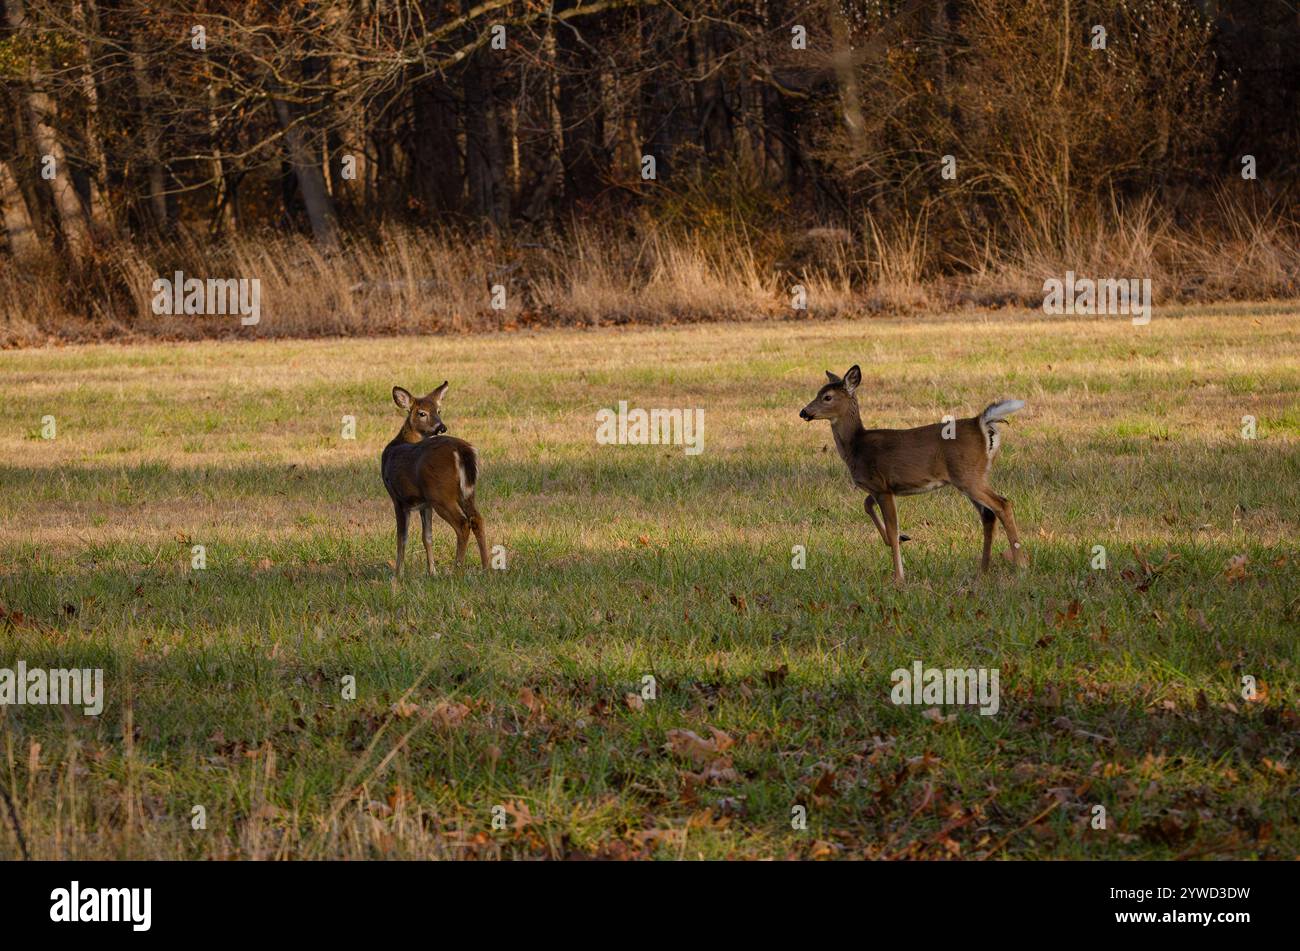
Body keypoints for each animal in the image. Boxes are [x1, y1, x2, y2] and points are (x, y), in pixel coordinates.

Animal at [384, 381, 491, 576]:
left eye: (439, 410)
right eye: (422, 413)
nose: (441, 427)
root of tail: (461, 450)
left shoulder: (398, 498)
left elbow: (402, 538)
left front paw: (398, 574)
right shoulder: (424, 504)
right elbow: (427, 536)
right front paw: (432, 572)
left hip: (441, 494)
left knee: (463, 524)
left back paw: (457, 570)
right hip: (466, 492)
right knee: (477, 519)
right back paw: (486, 567)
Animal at [795, 363, 1029, 582]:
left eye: (827, 397)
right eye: (818, 392)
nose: (804, 412)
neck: (856, 446)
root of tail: (980, 422)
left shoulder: (882, 487)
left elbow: (891, 528)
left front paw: (899, 577)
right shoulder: (881, 486)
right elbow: (867, 506)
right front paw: (902, 539)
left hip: (968, 476)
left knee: (1003, 504)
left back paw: (1020, 565)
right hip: (972, 476)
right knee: (988, 514)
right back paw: (983, 570)